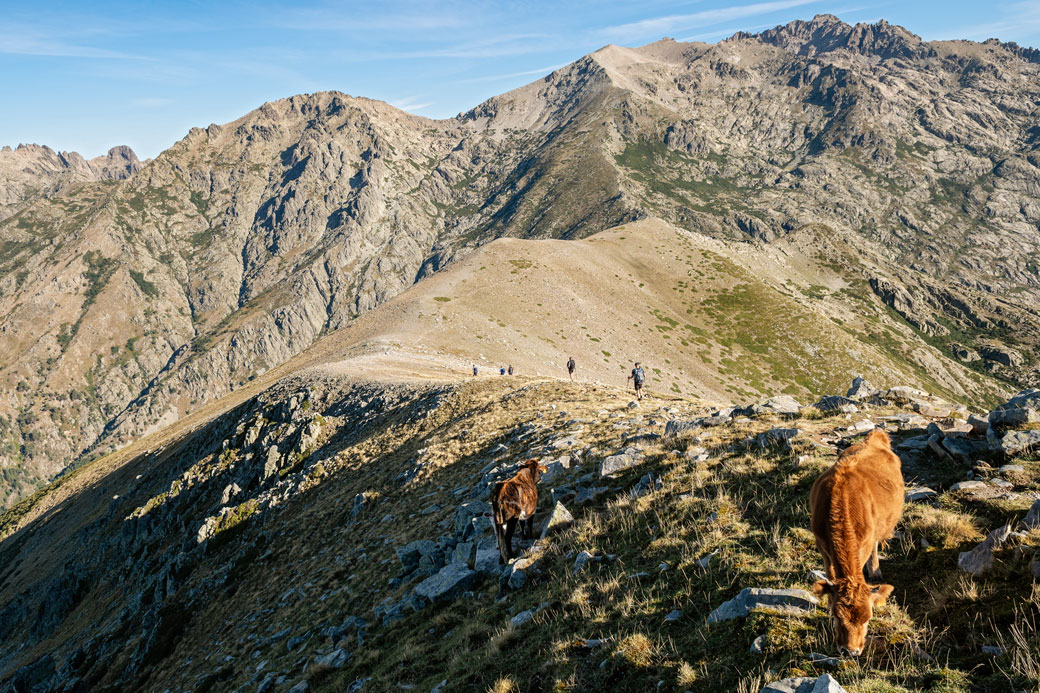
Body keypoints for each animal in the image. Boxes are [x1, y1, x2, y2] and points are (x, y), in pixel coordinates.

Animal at [811, 426, 902, 653]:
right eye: (837, 617)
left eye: (868, 619)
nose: (850, 651)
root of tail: (875, 437)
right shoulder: (821, 544)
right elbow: (830, 573)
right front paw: (827, 604)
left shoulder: (865, 543)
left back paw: (875, 570)